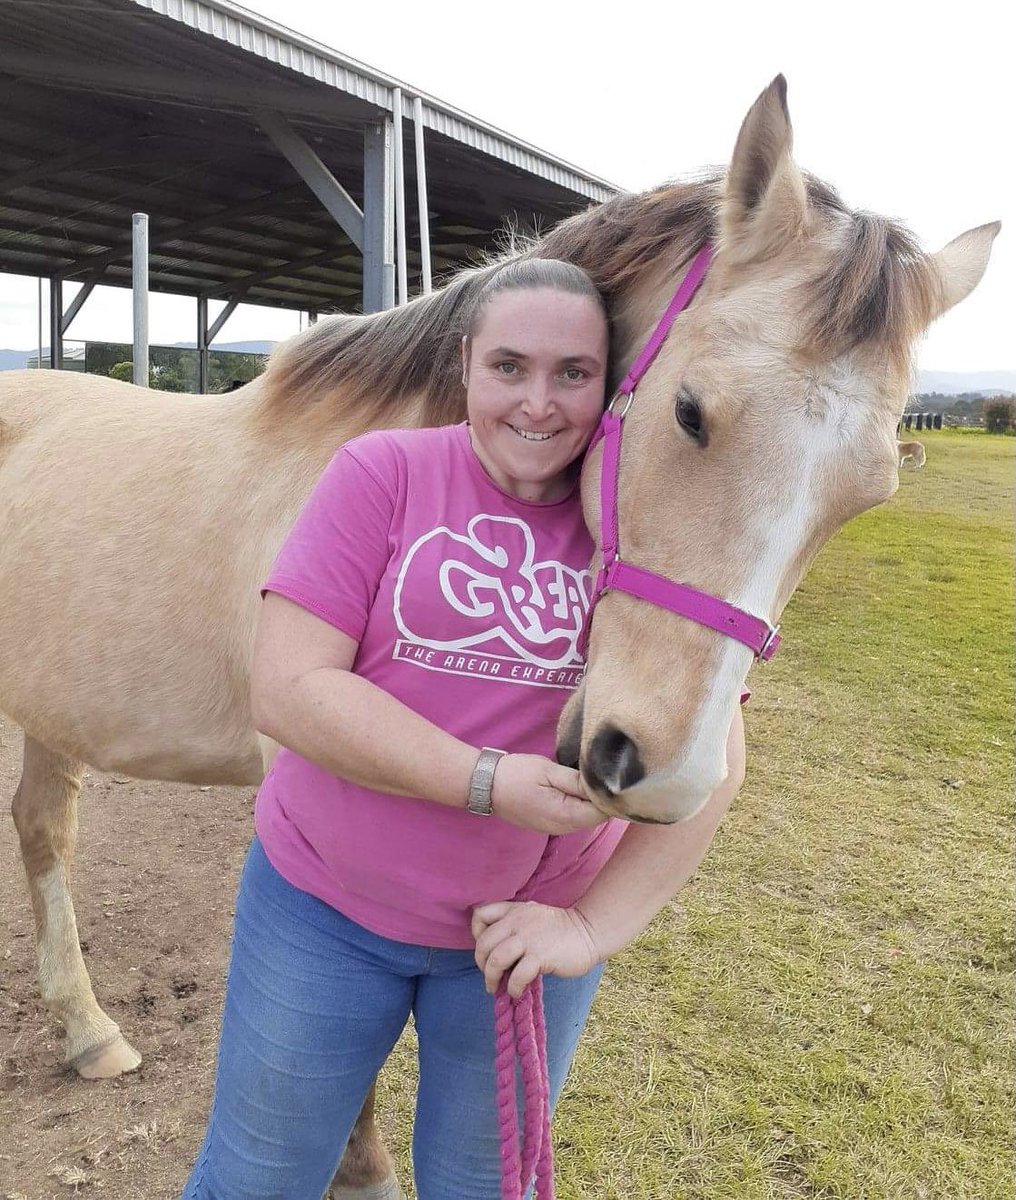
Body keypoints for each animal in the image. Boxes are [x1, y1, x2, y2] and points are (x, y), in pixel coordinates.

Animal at [0, 77, 996, 1198]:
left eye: (868, 494)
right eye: (692, 412)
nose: (661, 775)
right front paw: (363, 1170)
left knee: (41, 828)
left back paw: (89, 1033)